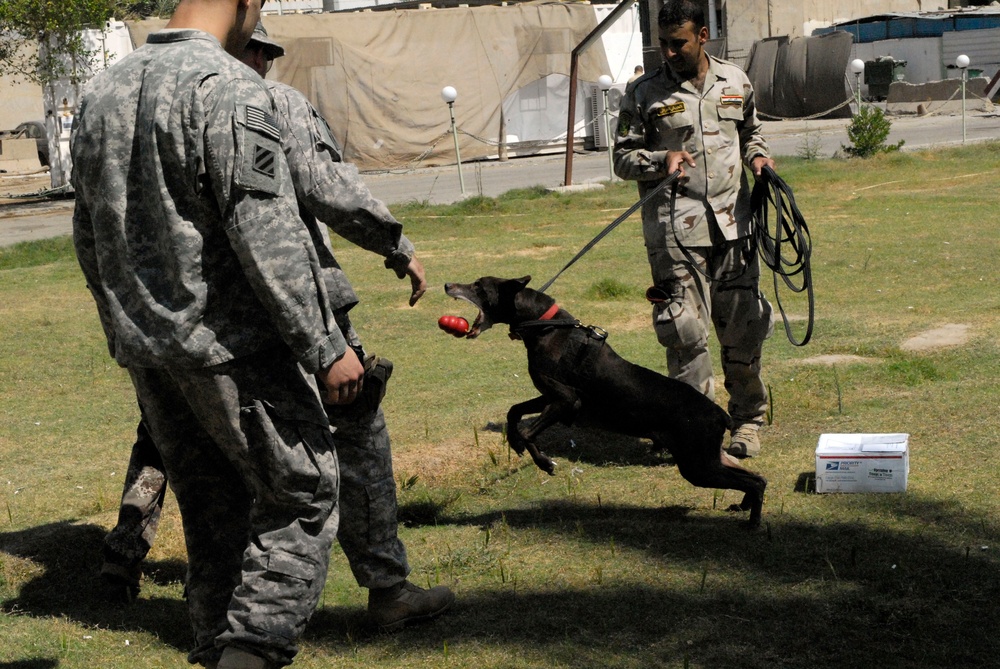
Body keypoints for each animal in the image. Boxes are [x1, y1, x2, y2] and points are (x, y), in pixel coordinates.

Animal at [444, 274, 764, 524]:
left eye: (478, 286)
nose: (447, 284)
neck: (545, 327)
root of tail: (719, 414)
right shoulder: (550, 396)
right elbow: (514, 412)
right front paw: (514, 442)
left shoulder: (566, 400)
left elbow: (529, 432)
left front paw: (543, 462)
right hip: (707, 459)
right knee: (757, 478)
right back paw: (744, 510)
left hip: (697, 465)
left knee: (754, 481)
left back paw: (752, 523)